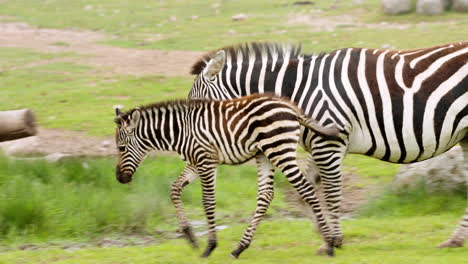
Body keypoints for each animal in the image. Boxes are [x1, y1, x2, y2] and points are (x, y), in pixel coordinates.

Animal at [113, 94, 340, 258]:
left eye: (121, 148)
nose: (119, 179)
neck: (181, 132)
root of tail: (290, 107)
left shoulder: (205, 161)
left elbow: (208, 201)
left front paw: (210, 246)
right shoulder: (195, 162)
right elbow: (175, 189)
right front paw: (190, 236)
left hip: (279, 151)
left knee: (306, 189)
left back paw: (329, 243)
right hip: (264, 154)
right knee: (266, 195)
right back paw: (239, 248)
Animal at [188, 41, 468, 250]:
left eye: (197, 109)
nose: (190, 152)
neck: (297, 92)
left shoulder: (329, 141)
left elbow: (331, 193)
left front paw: (332, 239)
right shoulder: (321, 142)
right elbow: (307, 190)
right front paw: (324, 233)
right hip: (465, 135)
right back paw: (455, 240)